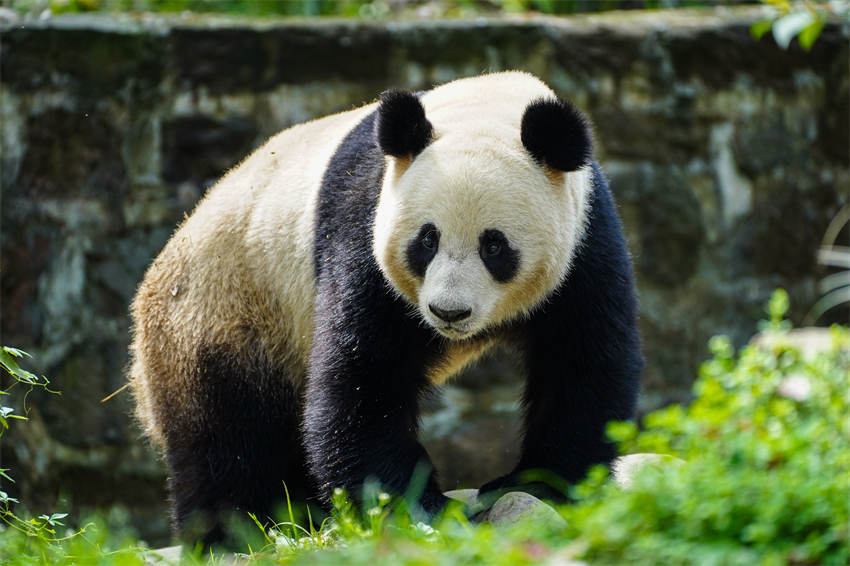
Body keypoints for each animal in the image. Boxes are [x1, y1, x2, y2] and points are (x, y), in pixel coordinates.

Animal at [129, 71, 642, 542]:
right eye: (427, 240)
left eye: (494, 246)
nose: (448, 313)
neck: (489, 108)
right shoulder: (364, 222)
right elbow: (365, 373)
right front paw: (418, 508)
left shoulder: (585, 237)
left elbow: (582, 361)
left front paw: (536, 486)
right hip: (225, 312)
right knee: (226, 440)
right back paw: (239, 530)